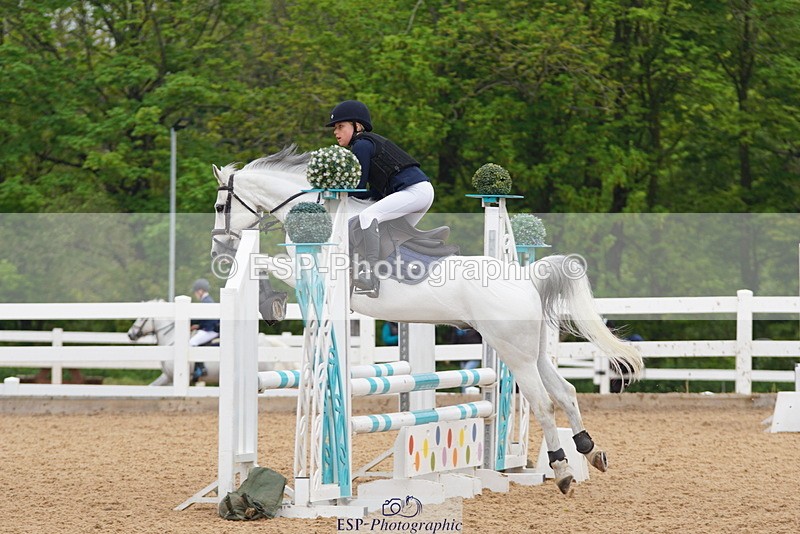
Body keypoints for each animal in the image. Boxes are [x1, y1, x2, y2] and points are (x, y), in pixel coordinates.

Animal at [208, 146, 643, 495]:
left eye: (219, 207)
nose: (218, 248)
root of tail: (526, 279)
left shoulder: (310, 270)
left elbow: (263, 263)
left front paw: (270, 302)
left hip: (512, 352)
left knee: (542, 403)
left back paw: (563, 470)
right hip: (530, 349)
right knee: (566, 392)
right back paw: (590, 451)